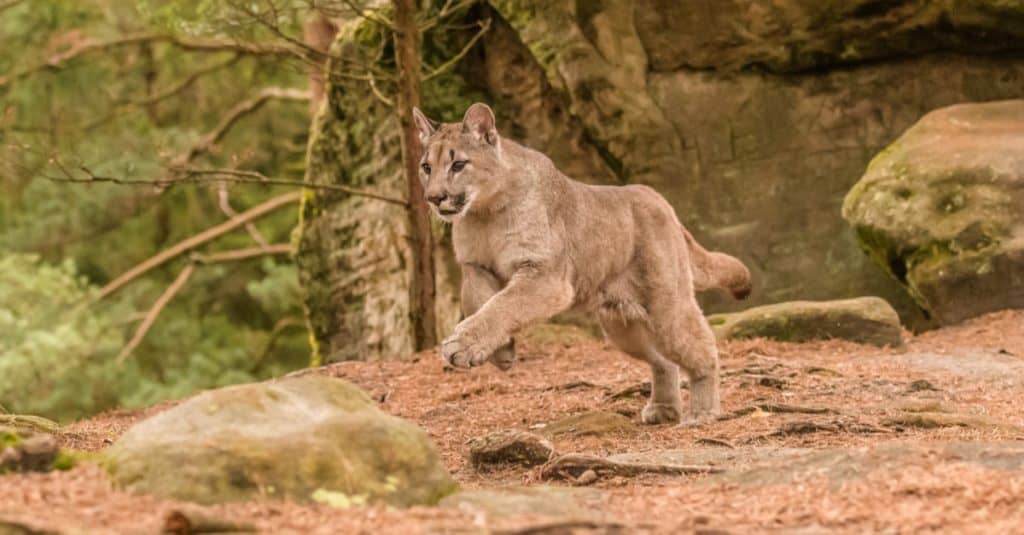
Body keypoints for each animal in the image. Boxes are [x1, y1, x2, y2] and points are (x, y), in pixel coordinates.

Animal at [409, 101, 753, 422]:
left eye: (458, 164)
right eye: (426, 167)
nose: (434, 198)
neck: (484, 213)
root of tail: (657, 198)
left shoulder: (545, 275)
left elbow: (505, 304)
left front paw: (463, 345)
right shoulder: (475, 267)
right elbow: (481, 301)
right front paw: (501, 351)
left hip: (666, 306)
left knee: (701, 346)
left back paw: (703, 412)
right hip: (622, 327)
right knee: (663, 359)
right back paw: (663, 409)